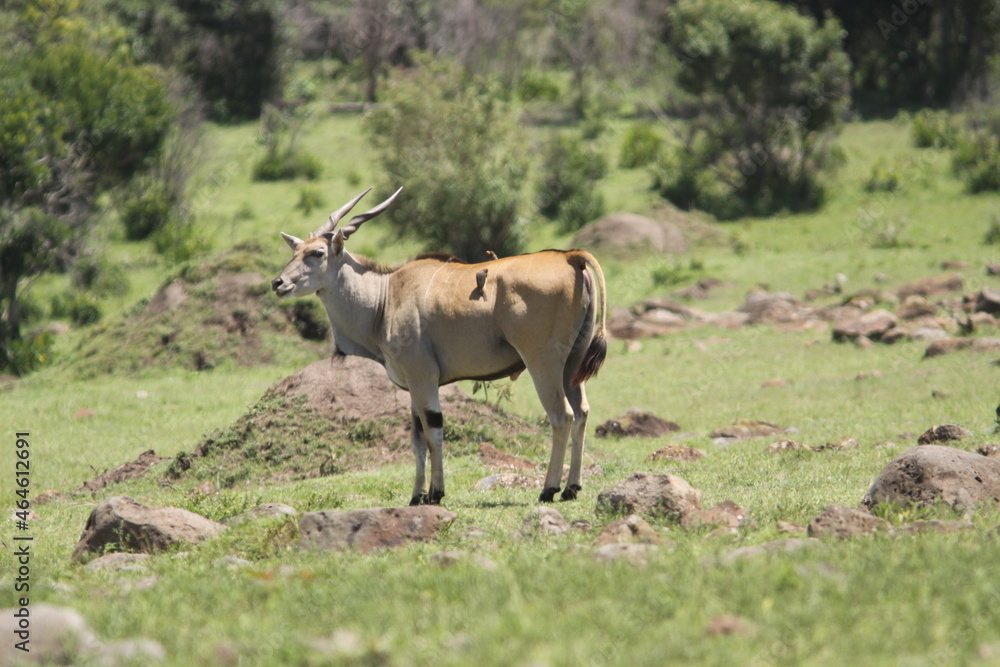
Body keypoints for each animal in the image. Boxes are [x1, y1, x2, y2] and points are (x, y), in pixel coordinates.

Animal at [270, 188, 604, 506]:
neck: (384, 298)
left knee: (562, 416)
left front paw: (435, 493)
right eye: (295, 251)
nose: (278, 283)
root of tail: (571, 257)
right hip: (572, 365)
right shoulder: (412, 386)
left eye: (317, 253)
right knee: (582, 413)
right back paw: (572, 488)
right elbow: (417, 439)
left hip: (542, 362)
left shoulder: (423, 378)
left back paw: (549, 489)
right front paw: (416, 495)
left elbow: (433, 433)